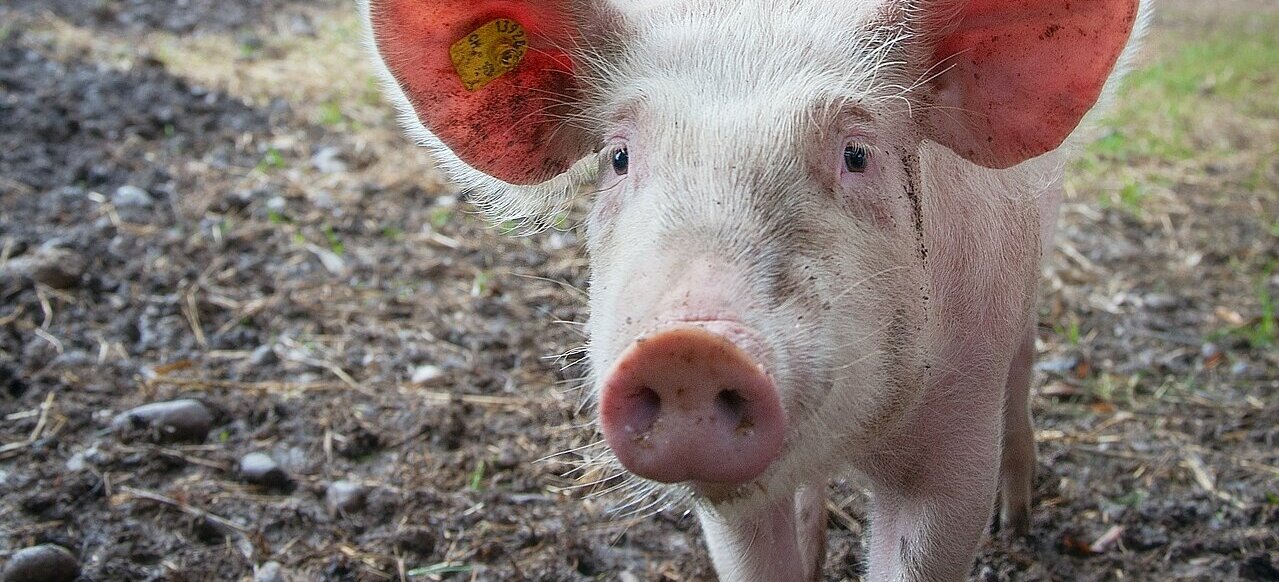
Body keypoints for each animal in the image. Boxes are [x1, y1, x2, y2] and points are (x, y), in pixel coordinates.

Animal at [360, 0, 1151, 579]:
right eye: (618, 157)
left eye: (856, 153)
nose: (688, 348)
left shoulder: (955, 439)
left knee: (1023, 374)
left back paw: (1016, 523)